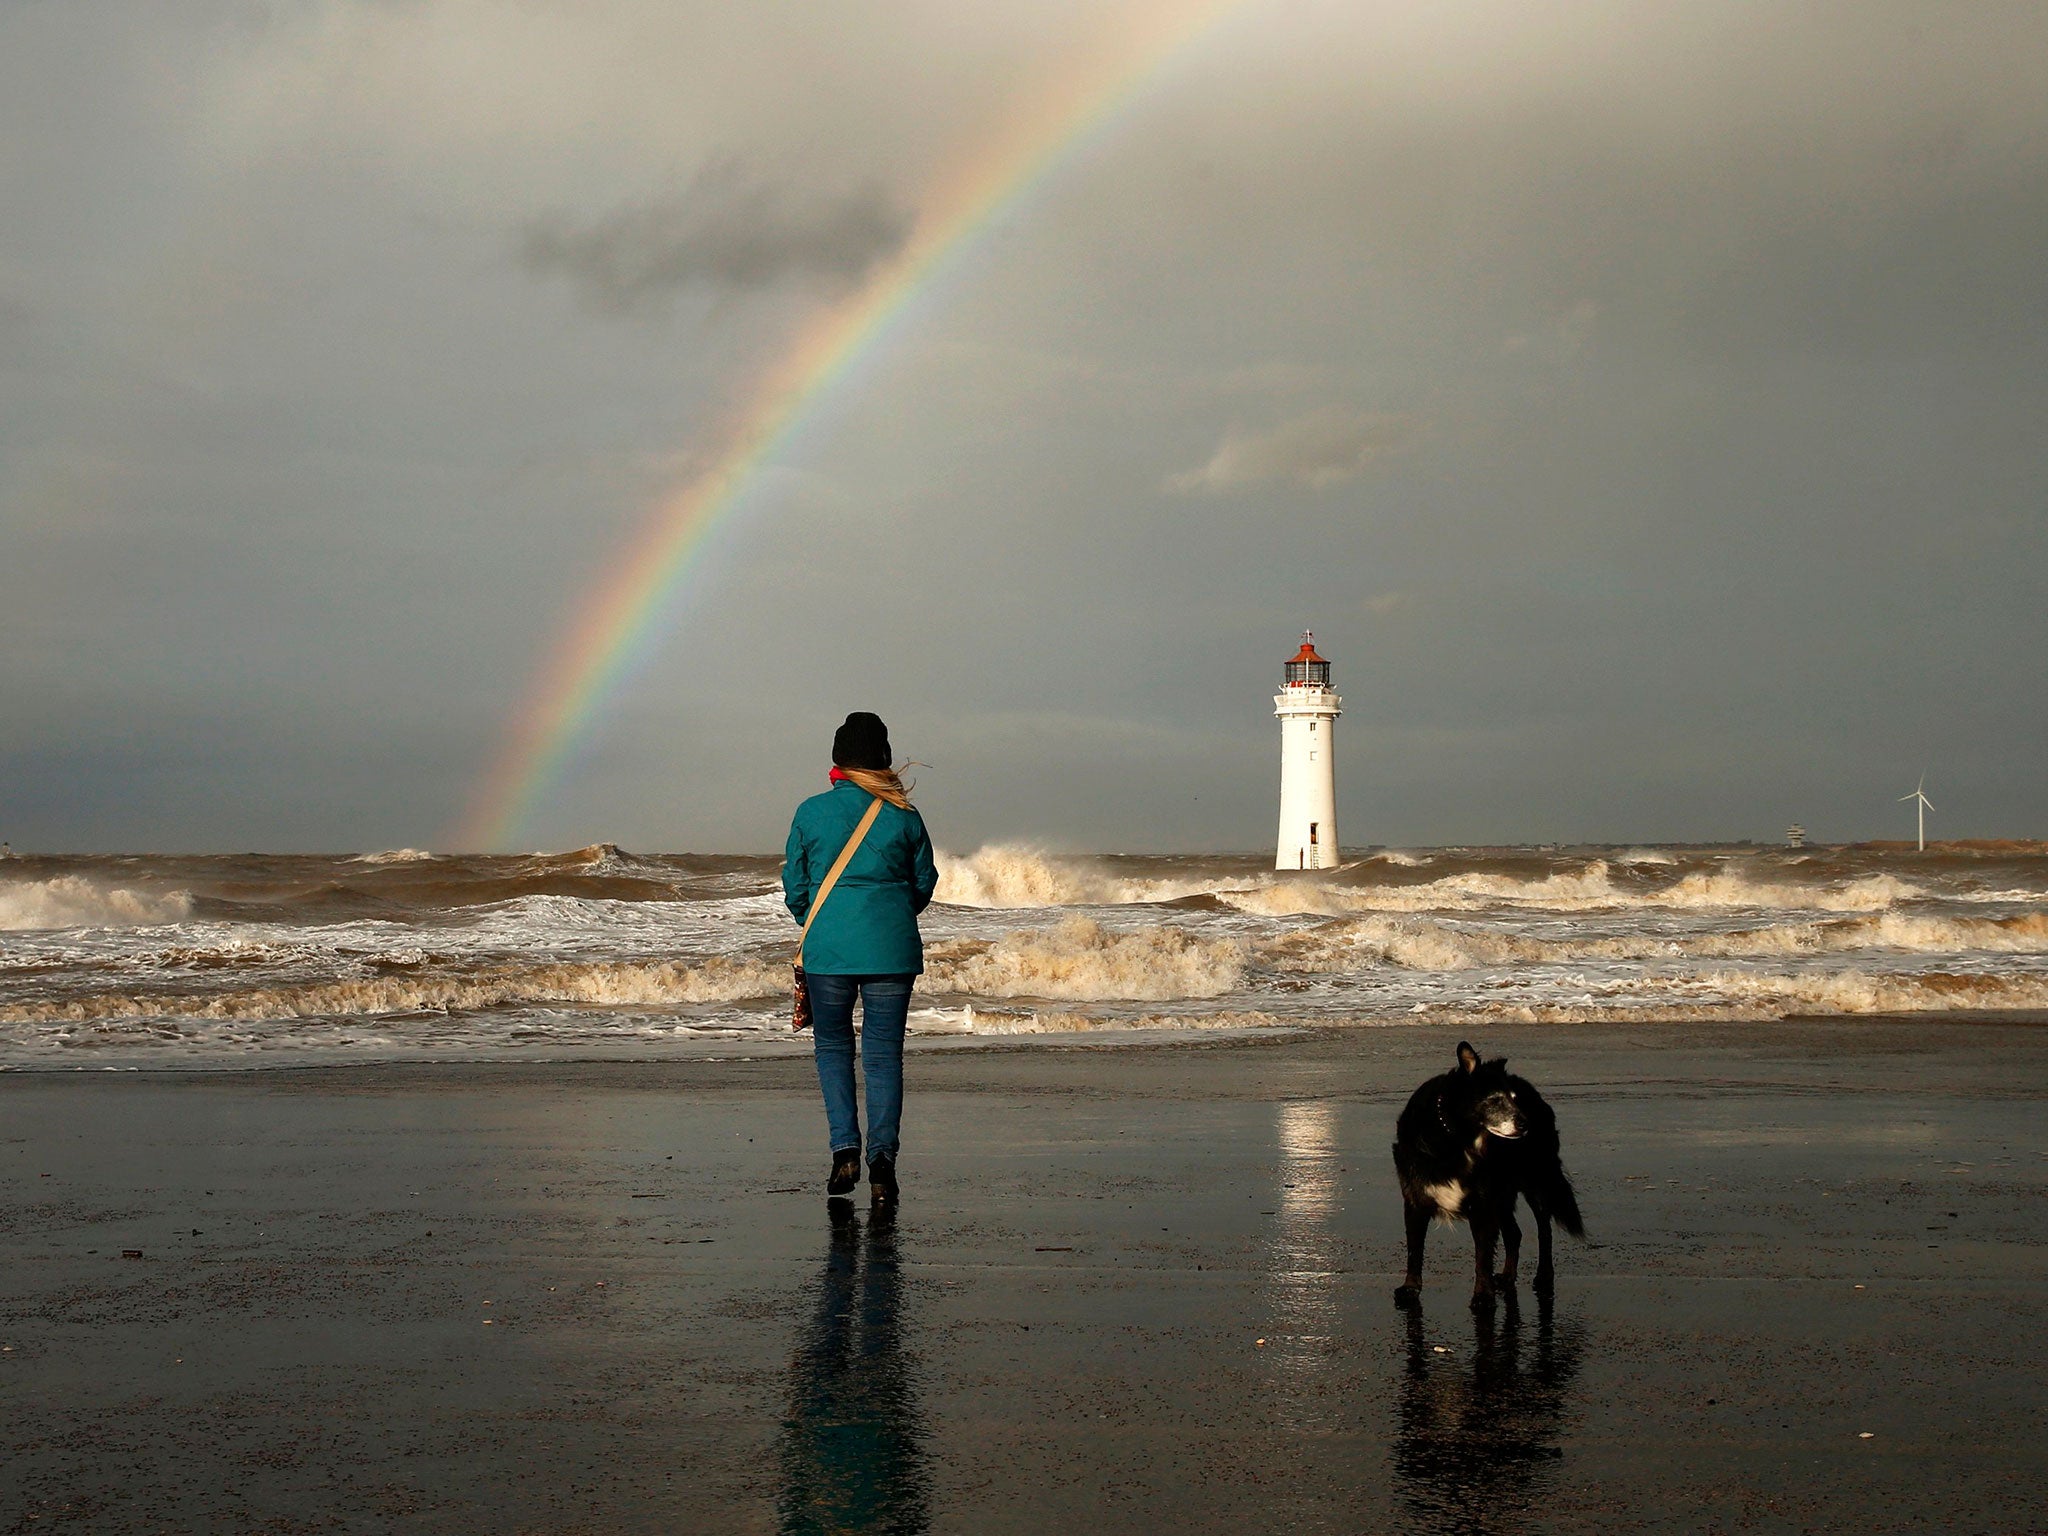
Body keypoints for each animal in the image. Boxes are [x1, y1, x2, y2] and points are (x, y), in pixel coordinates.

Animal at [1392, 1040, 1581, 1302]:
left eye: (1515, 1099)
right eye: (1495, 1099)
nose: (1526, 1124)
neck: (1456, 1138)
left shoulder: (1482, 1203)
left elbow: (1482, 1255)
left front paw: (1482, 1294)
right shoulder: (1415, 1199)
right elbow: (1414, 1249)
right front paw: (1410, 1287)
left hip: (1536, 1181)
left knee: (1544, 1230)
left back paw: (1543, 1276)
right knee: (1514, 1234)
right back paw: (1508, 1275)